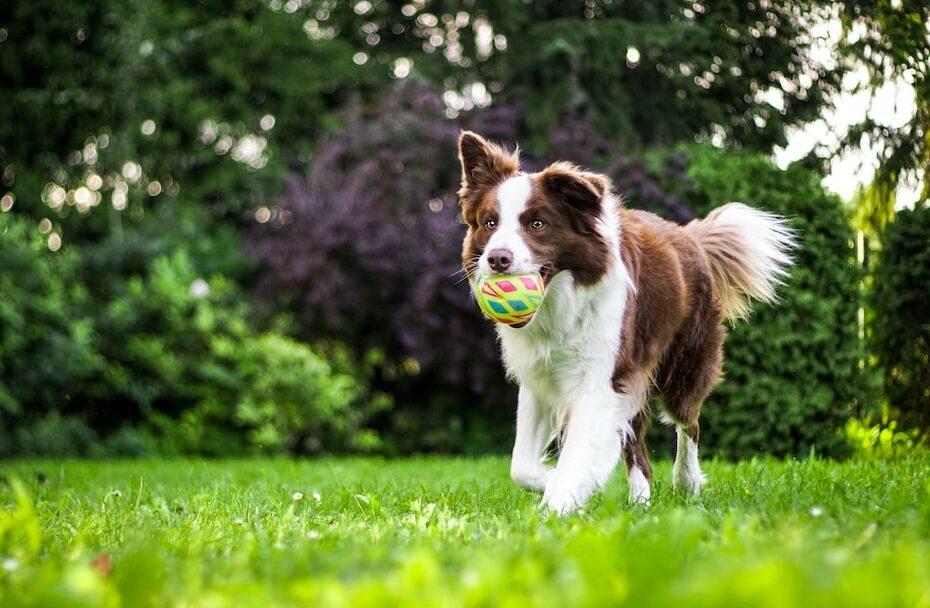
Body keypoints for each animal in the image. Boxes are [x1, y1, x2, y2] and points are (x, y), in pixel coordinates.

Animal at [454, 132, 792, 512]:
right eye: (490, 223)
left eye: (537, 224)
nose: (497, 259)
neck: (561, 302)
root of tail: (690, 236)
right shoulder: (540, 376)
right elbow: (521, 466)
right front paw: (556, 482)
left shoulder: (602, 377)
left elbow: (579, 452)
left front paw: (559, 504)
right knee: (639, 448)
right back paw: (641, 502)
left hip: (684, 364)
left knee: (688, 423)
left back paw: (686, 482)